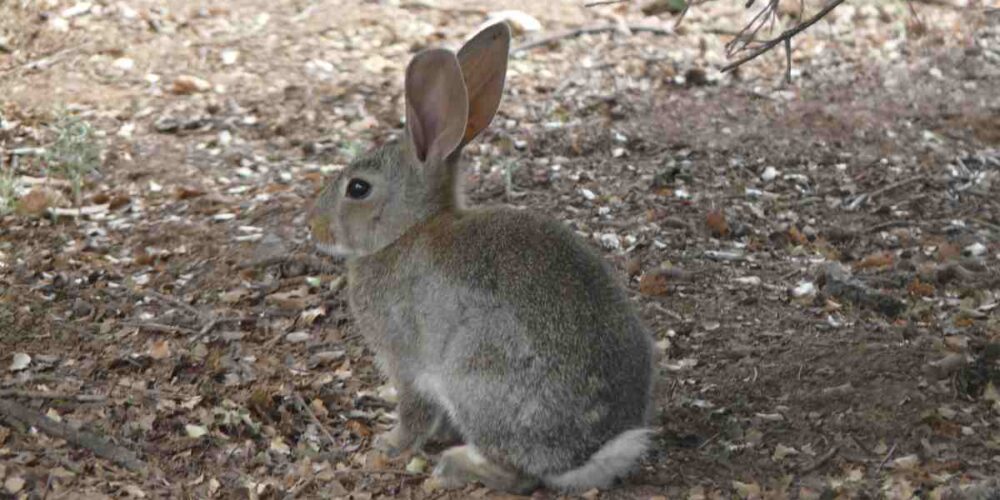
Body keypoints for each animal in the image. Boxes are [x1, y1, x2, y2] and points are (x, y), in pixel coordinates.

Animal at [308, 22, 654, 494]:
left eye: (358, 188)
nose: (313, 226)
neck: (405, 231)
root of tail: (588, 453)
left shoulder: (406, 361)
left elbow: (413, 411)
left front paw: (389, 444)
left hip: (474, 375)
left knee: (517, 475)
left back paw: (455, 465)